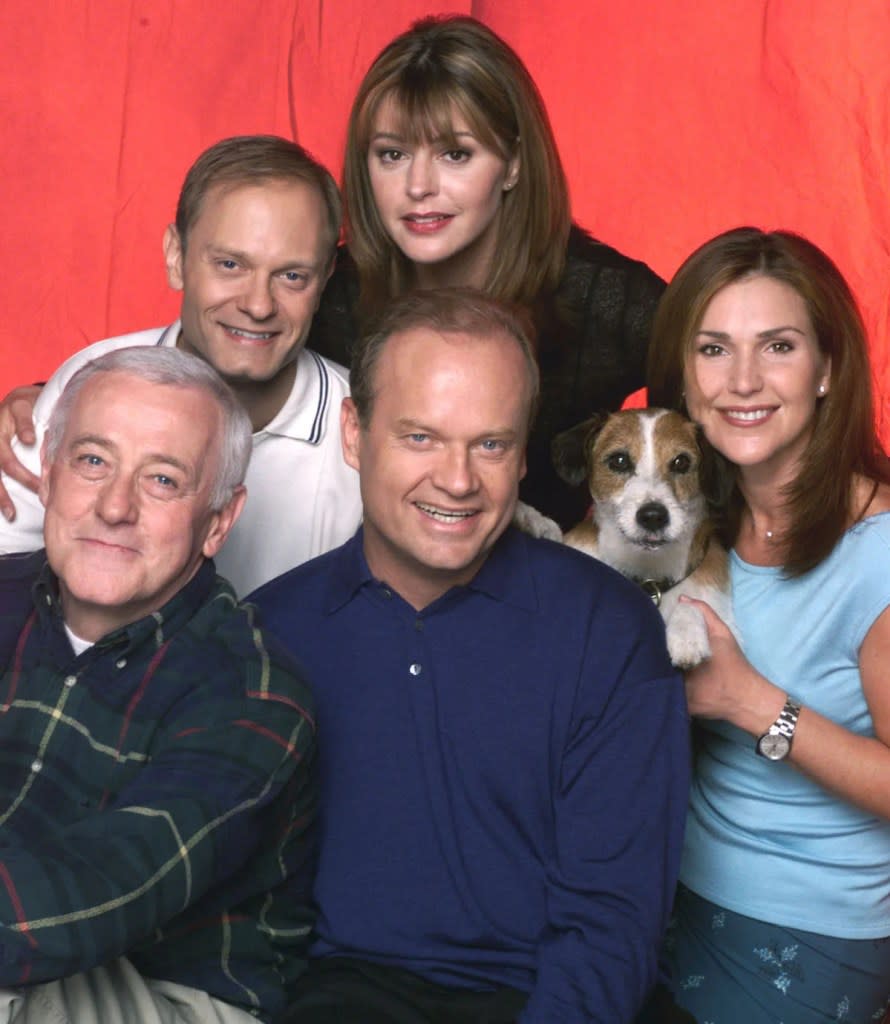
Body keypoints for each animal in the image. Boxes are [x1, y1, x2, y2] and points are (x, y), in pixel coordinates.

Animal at [553, 407, 733, 671]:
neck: (648, 573)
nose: (653, 517)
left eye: (681, 462)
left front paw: (686, 634)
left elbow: (690, 602)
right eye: (619, 460)